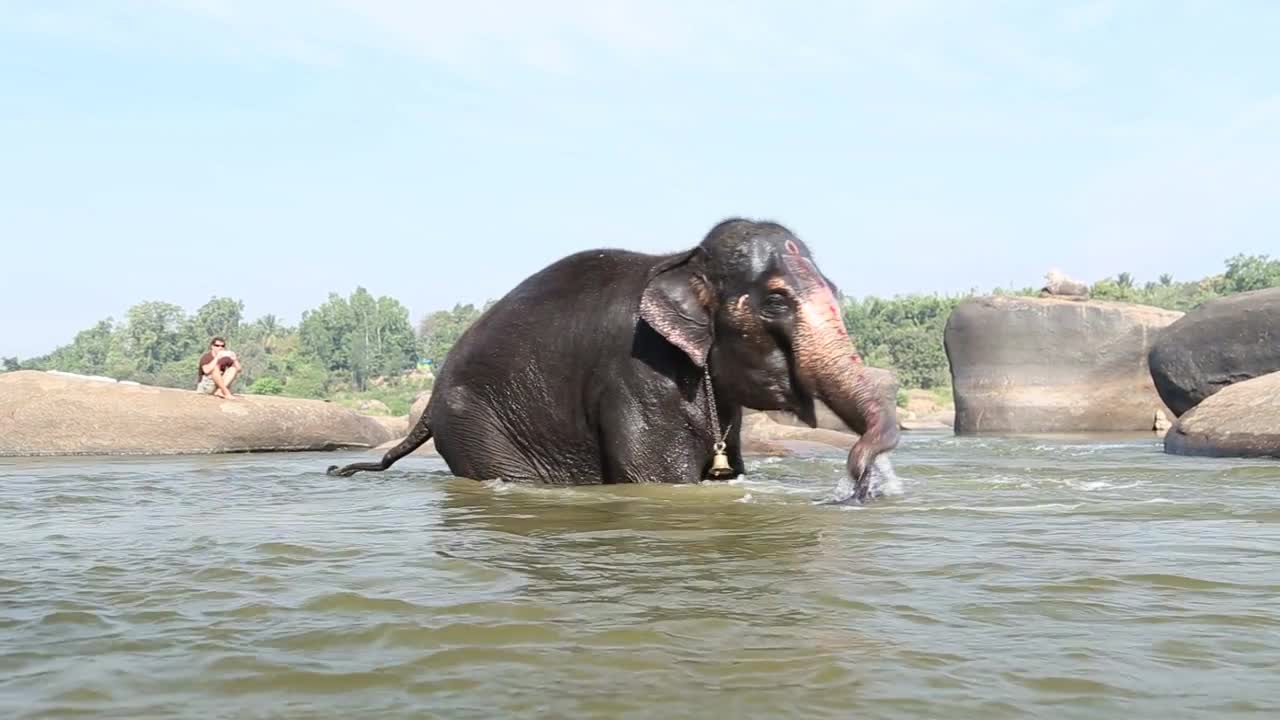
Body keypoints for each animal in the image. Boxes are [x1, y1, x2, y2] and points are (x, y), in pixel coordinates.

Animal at [330, 215, 901, 502]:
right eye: (777, 302)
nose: (859, 480)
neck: (683, 259)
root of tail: (428, 404)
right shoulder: (637, 376)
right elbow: (658, 480)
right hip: (476, 427)